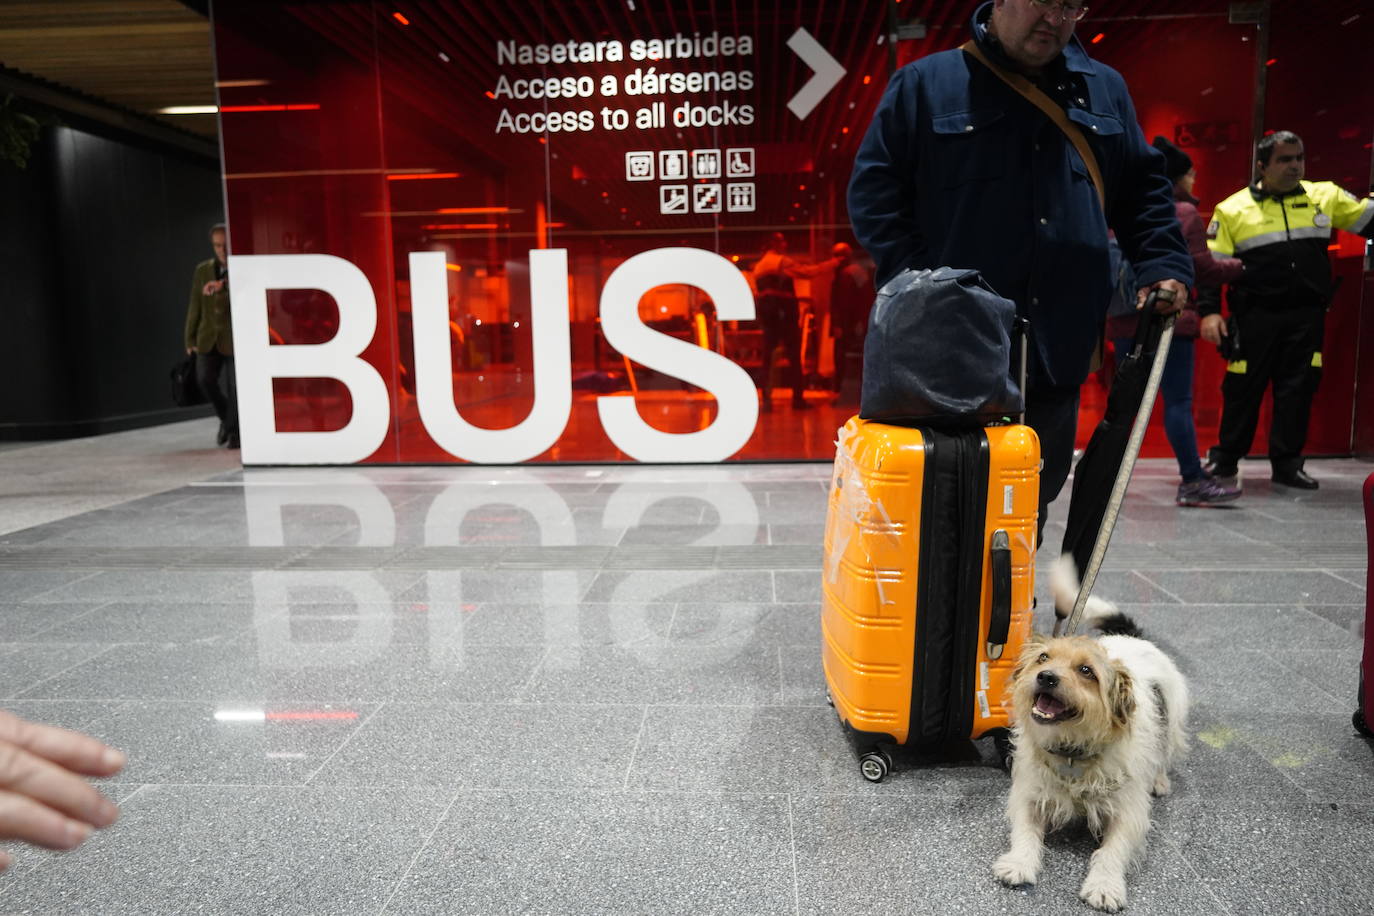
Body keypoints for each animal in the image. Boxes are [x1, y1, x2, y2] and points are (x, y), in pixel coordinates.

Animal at [989, 554, 1192, 911]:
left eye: (1086, 671)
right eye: (1043, 657)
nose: (1046, 677)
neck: (1074, 751)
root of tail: (1130, 636)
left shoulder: (1127, 813)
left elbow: (1112, 851)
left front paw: (1105, 885)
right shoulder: (1029, 795)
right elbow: (1025, 832)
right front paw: (1019, 863)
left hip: (1174, 714)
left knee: (1165, 750)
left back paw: (1158, 780)